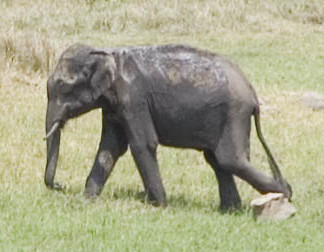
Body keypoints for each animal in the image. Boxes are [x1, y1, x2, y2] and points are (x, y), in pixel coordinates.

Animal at [45, 43, 292, 211]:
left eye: (63, 87)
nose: (60, 185)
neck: (107, 53)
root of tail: (252, 93)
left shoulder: (134, 99)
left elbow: (142, 144)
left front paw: (159, 205)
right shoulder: (114, 107)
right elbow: (110, 147)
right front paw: (87, 199)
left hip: (234, 114)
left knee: (231, 159)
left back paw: (284, 196)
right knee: (217, 160)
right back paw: (232, 209)